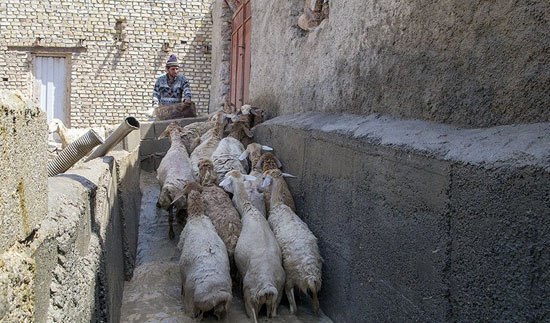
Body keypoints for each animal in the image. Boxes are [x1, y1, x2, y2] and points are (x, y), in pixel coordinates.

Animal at [220, 171, 286, 322]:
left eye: (226, 177)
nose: (221, 185)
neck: (250, 211)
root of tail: (267, 286)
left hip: (250, 296)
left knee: (253, 316)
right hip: (277, 296)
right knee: (272, 313)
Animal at [262, 168, 324, 316]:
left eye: (264, 178)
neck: (278, 204)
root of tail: (310, 274)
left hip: (291, 276)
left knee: (294, 305)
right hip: (316, 281)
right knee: (316, 304)